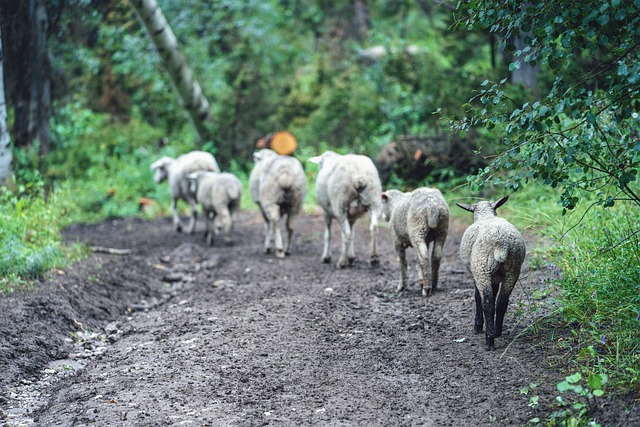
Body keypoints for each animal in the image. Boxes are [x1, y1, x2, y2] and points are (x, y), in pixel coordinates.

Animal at [458, 197, 528, 352]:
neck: (486, 215)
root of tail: (501, 245)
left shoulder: (476, 274)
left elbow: (477, 297)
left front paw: (478, 326)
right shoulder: (495, 278)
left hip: (482, 268)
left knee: (488, 303)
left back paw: (489, 340)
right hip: (512, 270)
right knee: (502, 302)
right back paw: (497, 332)